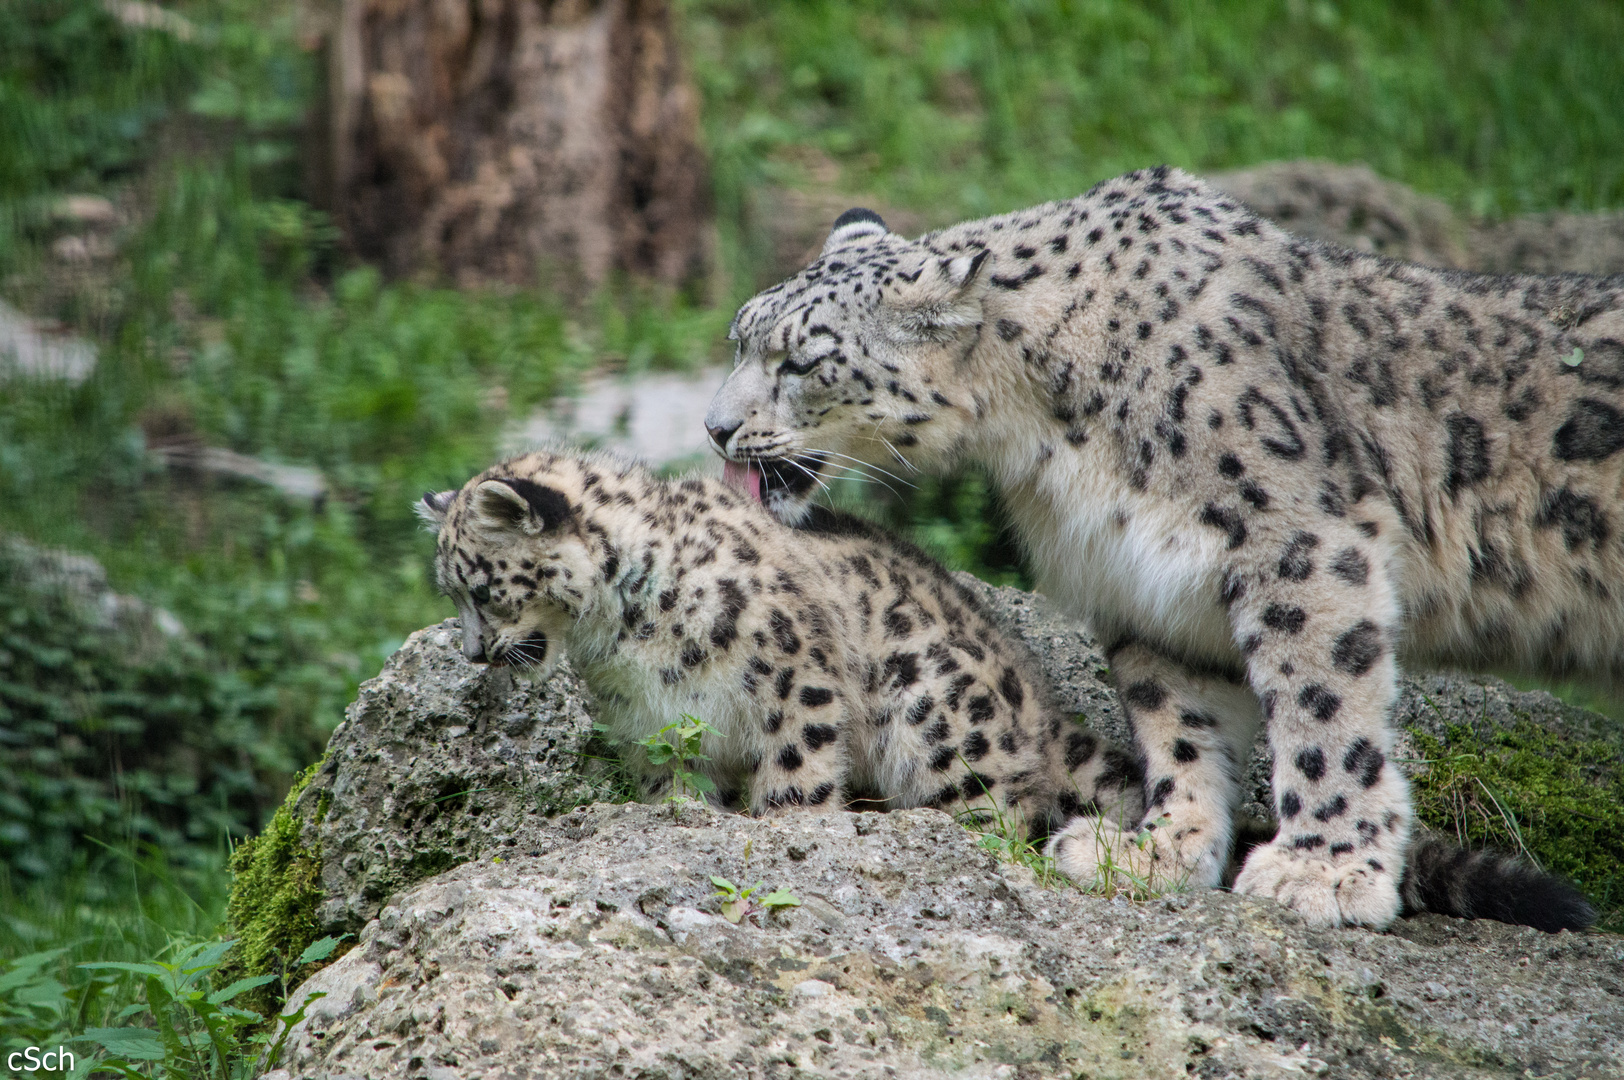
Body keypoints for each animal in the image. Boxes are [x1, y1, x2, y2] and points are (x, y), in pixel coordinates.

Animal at [704, 164, 1617, 928]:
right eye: (740, 338)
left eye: (799, 360)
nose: (714, 427)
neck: (1050, 432)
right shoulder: (1147, 579)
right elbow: (1180, 723)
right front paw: (1159, 852)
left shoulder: (1294, 541)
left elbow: (1322, 702)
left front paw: (1322, 869)